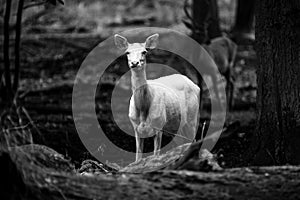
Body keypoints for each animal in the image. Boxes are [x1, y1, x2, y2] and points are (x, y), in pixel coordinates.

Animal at [113, 33, 200, 162]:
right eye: (127, 52)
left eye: (144, 51)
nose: (135, 63)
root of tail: (195, 85)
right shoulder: (135, 127)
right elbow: (138, 157)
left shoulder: (159, 124)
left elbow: (156, 155)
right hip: (175, 126)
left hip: (192, 117)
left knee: (193, 140)